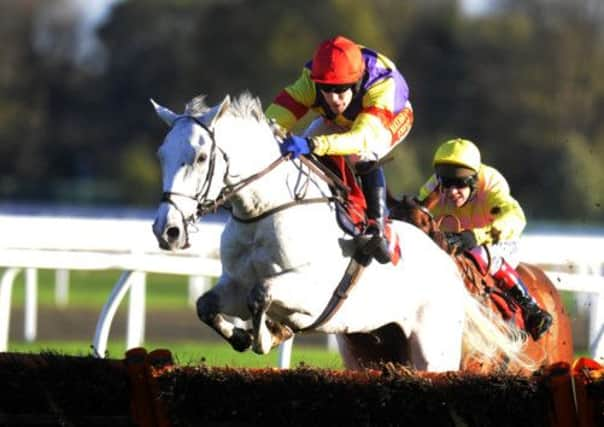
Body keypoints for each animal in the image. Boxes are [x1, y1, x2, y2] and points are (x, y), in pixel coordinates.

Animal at [151, 93, 528, 372]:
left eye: (201, 157)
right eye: (161, 155)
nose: (167, 230)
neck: (262, 214)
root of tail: (449, 264)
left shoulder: (315, 293)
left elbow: (262, 292)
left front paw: (266, 335)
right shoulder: (234, 283)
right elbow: (206, 304)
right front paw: (246, 335)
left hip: (434, 349)